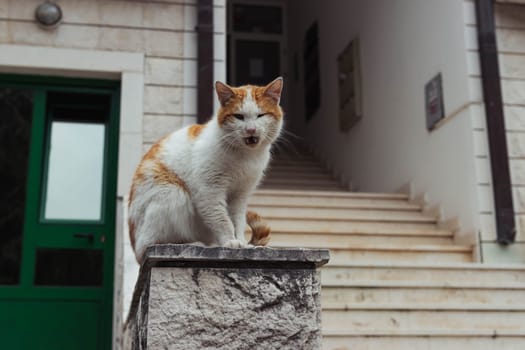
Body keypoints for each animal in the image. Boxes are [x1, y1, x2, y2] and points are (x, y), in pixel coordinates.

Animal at [127, 76, 282, 262]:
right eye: (239, 116)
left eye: (260, 115)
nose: (250, 129)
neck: (245, 157)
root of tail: (135, 248)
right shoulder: (209, 191)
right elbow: (222, 219)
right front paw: (230, 241)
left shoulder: (240, 195)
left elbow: (237, 220)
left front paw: (242, 243)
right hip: (172, 192)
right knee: (152, 243)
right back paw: (193, 244)